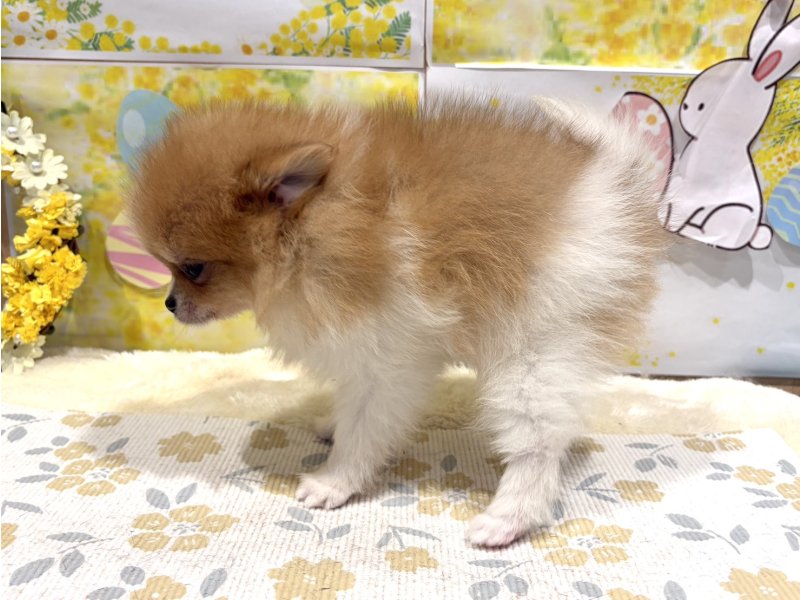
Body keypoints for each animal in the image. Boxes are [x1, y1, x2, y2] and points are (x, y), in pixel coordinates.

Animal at [127, 95, 666, 547]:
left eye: (193, 268)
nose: (170, 303)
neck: (317, 227)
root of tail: (618, 187)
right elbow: (350, 410)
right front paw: (331, 425)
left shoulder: (389, 361)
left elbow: (363, 431)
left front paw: (333, 482)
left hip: (536, 347)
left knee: (537, 444)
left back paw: (506, 519)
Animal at [660, 0, 800, 251]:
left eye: (701, 106)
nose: (684, 106)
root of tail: (751, 234)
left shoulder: (691, 196)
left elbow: (679, 211)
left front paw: (672, 226)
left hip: (731, 213)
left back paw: (692, 231)